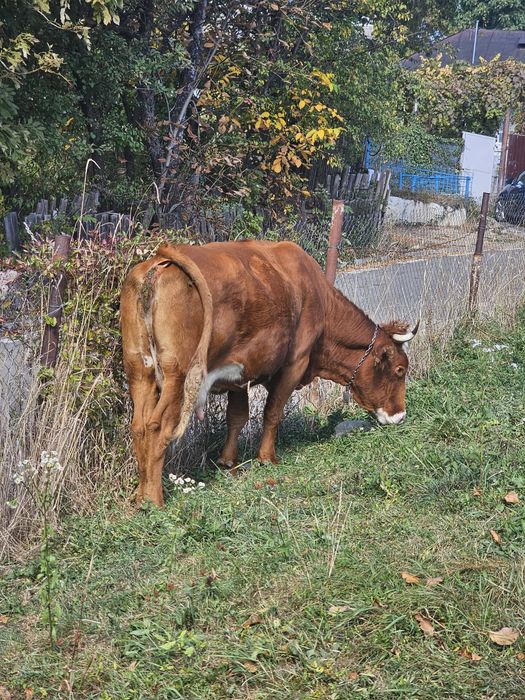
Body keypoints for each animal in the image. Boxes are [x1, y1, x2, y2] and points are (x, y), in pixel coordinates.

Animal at [120, 240, 417, 506]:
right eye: (400, 370)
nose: (400, 415)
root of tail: (160, 260)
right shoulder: (294, 363)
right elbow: (272, 412)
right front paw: (267, 458)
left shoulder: (239, 373)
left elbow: (237, 417)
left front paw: (228, 461)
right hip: (177, 377)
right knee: (157, 427)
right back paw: (154, 499)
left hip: (139, 370)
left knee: (139, 425)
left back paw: (140, 495)